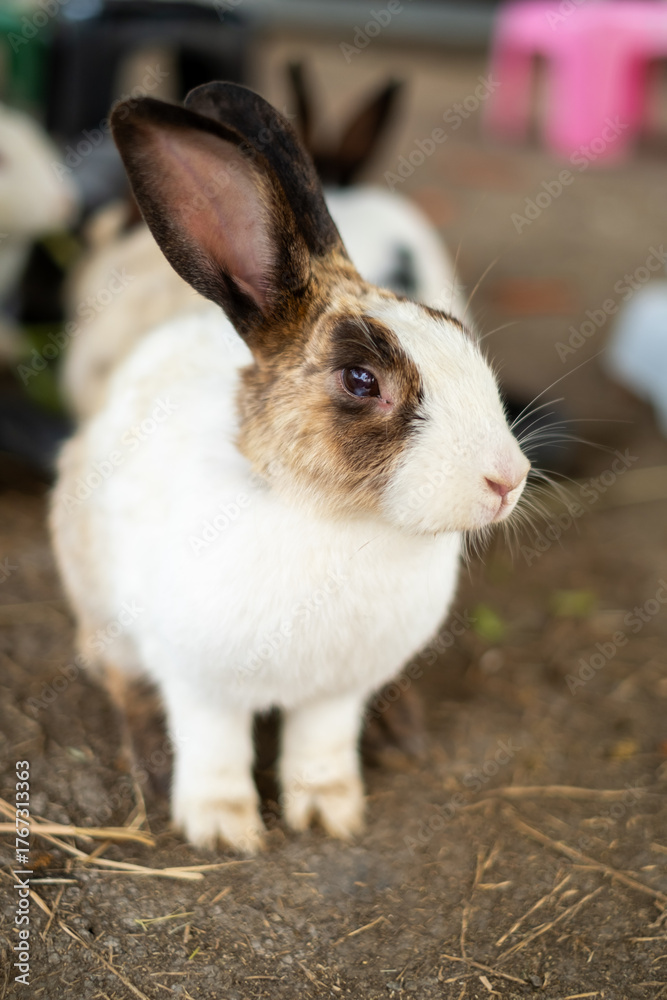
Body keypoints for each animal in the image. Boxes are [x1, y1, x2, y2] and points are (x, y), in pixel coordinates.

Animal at [50, 82, 530, 852]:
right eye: (361, 380)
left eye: (458, 335)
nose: (506, 480)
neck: (331, 518)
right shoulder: (199, 682)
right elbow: (214, 748)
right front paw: (223, 831)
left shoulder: (339, 691)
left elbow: (321, 747)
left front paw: (330, 815)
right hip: (104, 613)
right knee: (121, 680)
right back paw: (153, 765)